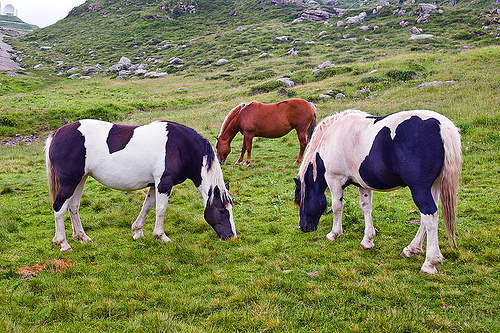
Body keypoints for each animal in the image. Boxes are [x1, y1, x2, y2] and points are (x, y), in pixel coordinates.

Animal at [45, 118, 236, 250]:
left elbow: (147, 206)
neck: (181, 146)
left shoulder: (154, 184)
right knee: (59, 207)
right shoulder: (164, 183)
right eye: (221, 210)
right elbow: (160, 209)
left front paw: (137, 232)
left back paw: (82, 237)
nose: (231, 237)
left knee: (73, 207)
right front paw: (160, 236)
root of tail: (56, 134)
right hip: (69, 182)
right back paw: (63, 243)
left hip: (80, 180)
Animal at [294, 110, 462, 274]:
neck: (332, 135)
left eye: (299, 201)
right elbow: (366, 207)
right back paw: (411, 249)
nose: (304, 227)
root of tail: (441, 125)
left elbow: (336, 207)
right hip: (434, 186)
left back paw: (429, 263)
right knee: (426, 218)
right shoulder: (363, 183)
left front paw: (334, 234)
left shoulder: (334, 179)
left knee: (430, 216)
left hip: (419, 188)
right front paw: (367, 240)